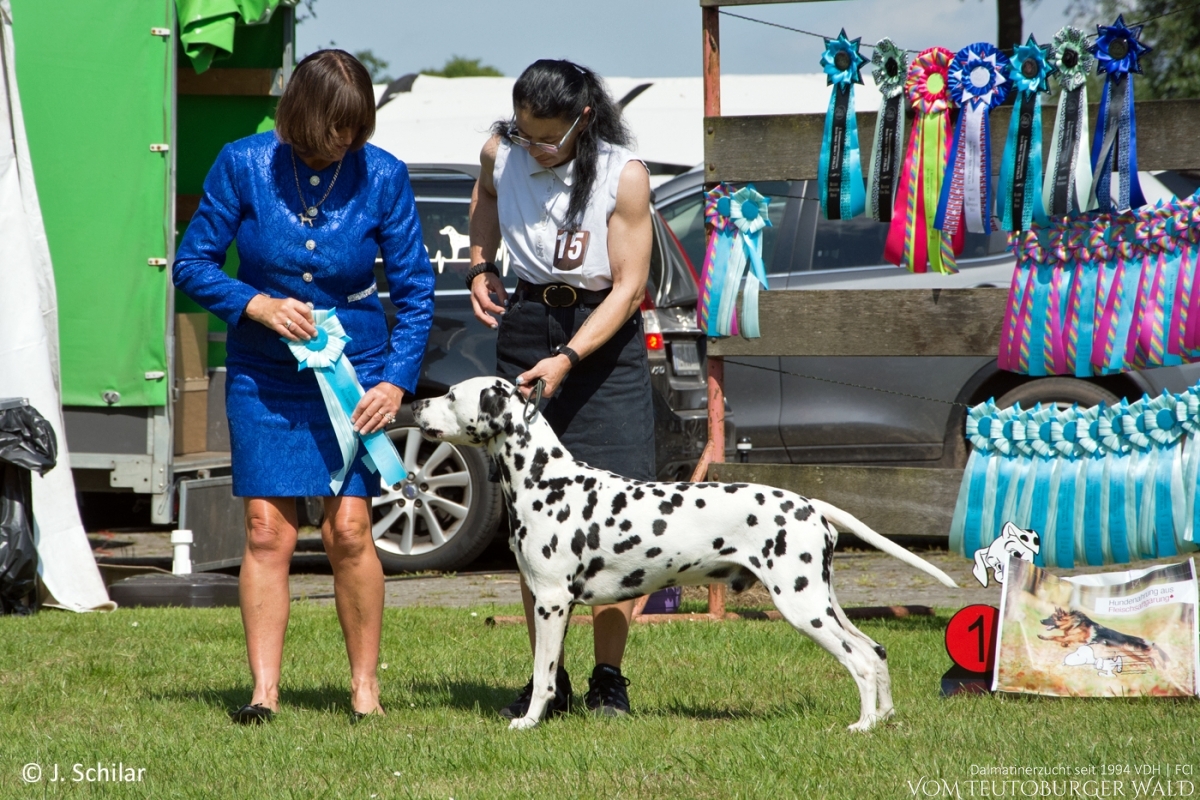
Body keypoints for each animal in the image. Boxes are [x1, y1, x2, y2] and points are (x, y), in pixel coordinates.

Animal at [410, 379, 955, 734]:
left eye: (451, 395)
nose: (414, 404)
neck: (548, 479)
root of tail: (809, 503)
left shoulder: (550, 602)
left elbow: (544, 676)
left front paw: (528, 722)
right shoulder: (549, 603)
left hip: (804, 608)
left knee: (859, 661)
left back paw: (861, 726)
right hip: (824, 603)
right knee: (876, 651)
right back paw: (882, 718)